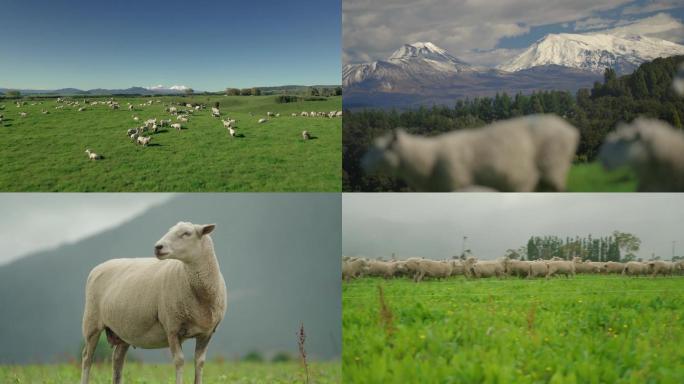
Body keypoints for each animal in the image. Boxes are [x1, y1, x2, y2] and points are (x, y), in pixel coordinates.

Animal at [80, 222, 224, 384]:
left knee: (117, 359)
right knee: (87, 357)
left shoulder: (206, 333)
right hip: (91, 323)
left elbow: (199, 362)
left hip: (124, 330)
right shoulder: (172, 327)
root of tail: (99, 266)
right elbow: (179, 361)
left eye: (187, 233)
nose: (158, 247)